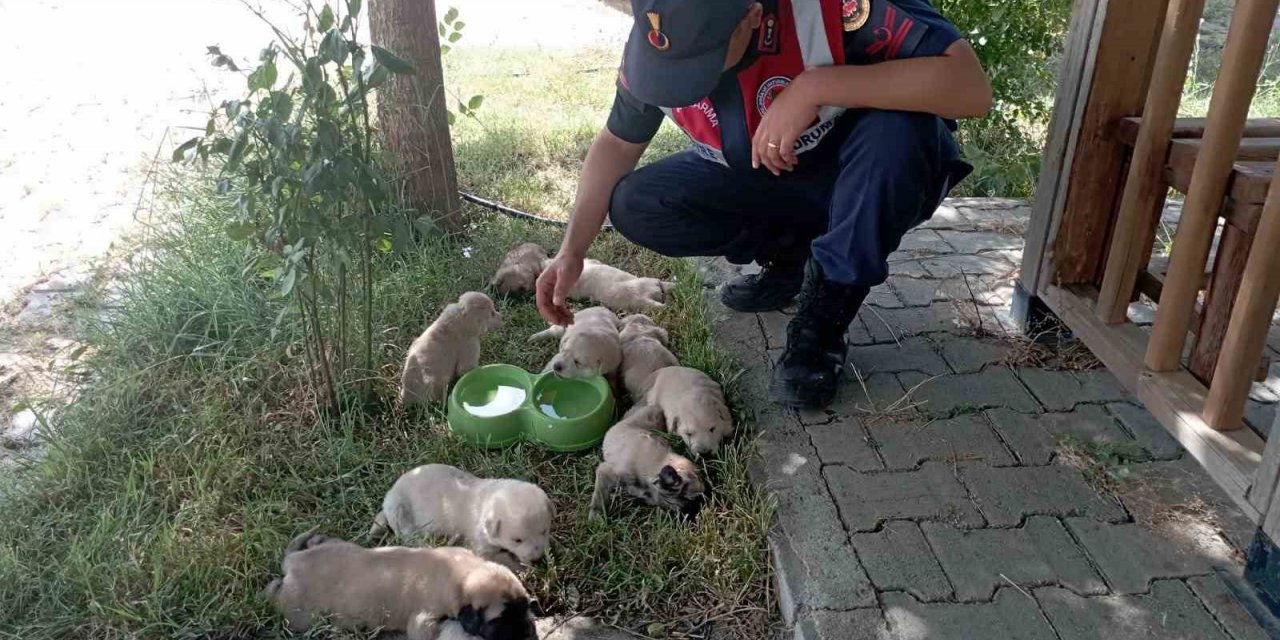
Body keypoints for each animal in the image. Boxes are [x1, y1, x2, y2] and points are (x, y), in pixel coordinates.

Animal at [259, 527, 540, 637]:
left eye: (523, 608)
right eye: (500, 619)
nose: (527, 631)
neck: (462, 574)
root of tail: (293, 562)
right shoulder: (423, 621)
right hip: (299, 614)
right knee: (275, 594)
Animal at [368, 463, 552, 568]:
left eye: (544, 531)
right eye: (517, 540)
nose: (539, 560)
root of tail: (389, 496)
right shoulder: (479, 542)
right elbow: (494, 557)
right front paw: (518, 566)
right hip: (400, 511)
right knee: (409, 535)